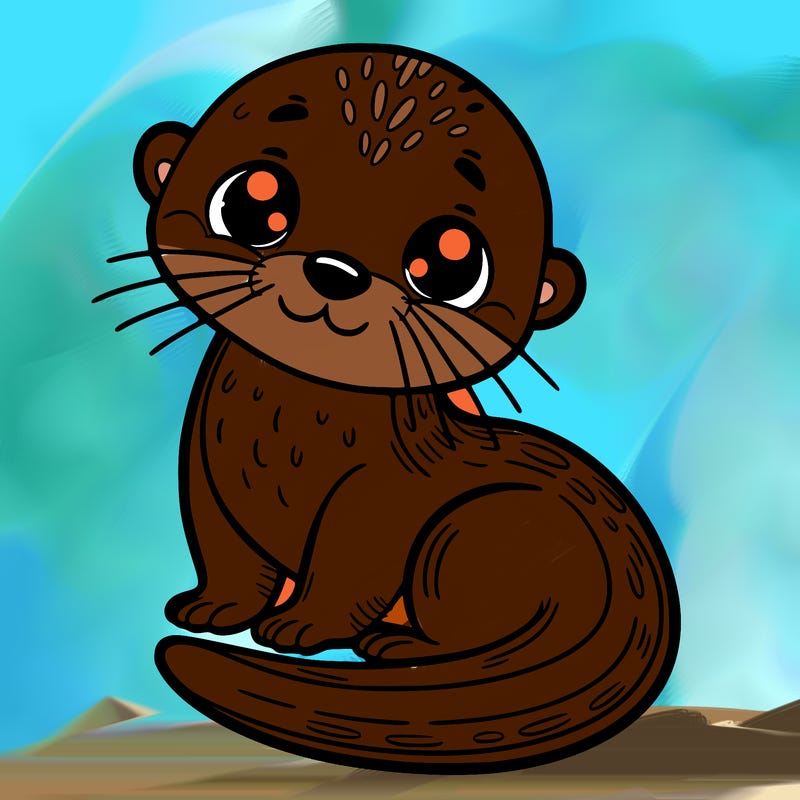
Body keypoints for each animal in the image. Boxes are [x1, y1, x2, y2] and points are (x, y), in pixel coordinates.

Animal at [101, 44, 680, 773]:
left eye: (452, 261)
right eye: (254, 200)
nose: (335, 270)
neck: (282, 440)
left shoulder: (378, 496)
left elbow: (352, 566)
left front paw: (301, 626)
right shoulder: (206, 472)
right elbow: (224, 550)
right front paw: (211, 608)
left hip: (471, 532)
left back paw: (401, 647)